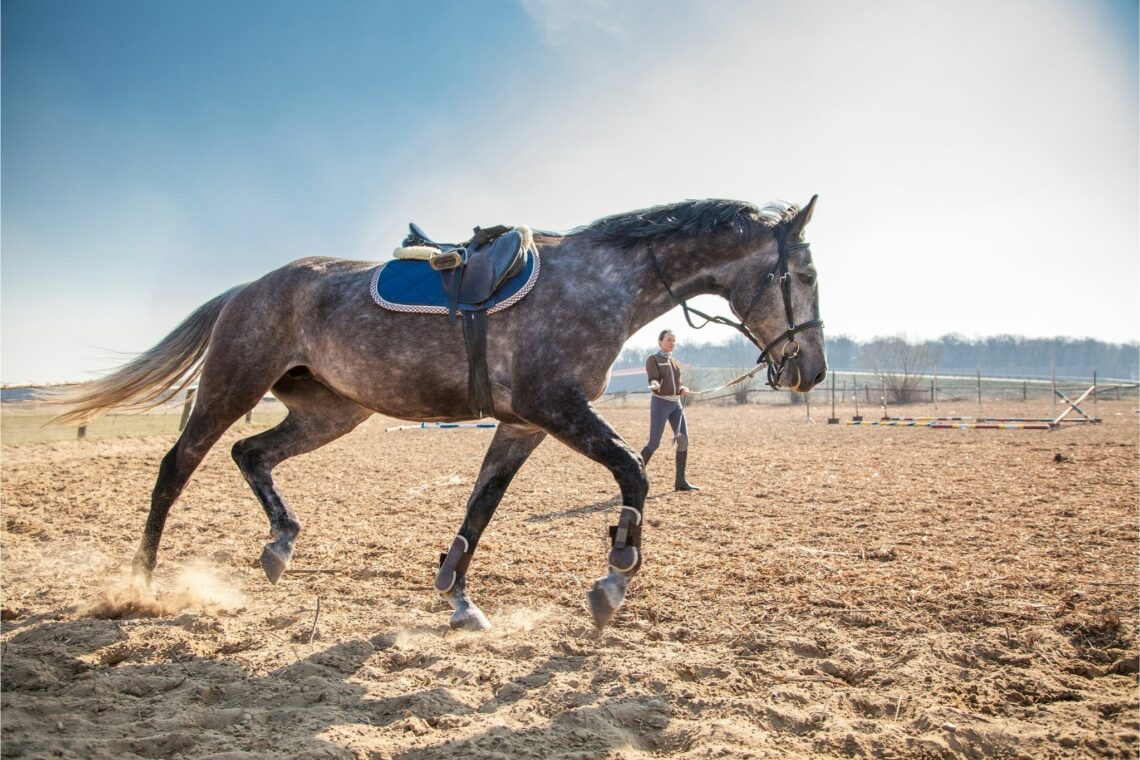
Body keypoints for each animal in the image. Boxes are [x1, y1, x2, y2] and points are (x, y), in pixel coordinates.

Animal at [50, 196, 827, 630]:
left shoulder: (523, 424)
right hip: (231, 388)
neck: (597, 283)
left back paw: (280, 544)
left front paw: (456, 595)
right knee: (176, 468)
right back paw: (140, 585)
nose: (811, 371)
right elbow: (633, 476)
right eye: (808, 274)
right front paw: (613, 578)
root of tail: (249, 288)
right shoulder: (554, 407)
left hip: (331, 412)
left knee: (252, 455)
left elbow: (480, 507)